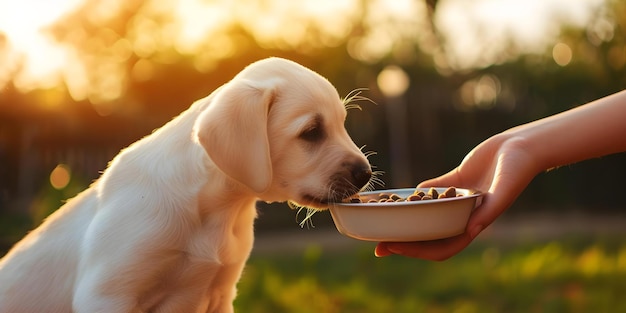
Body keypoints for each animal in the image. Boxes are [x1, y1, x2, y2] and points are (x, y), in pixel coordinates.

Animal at [0, 58, 370, 312]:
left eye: (342, 124)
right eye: (311, 132)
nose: (366, 174)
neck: (216, 209)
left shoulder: (220, 296)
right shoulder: (107, 294)